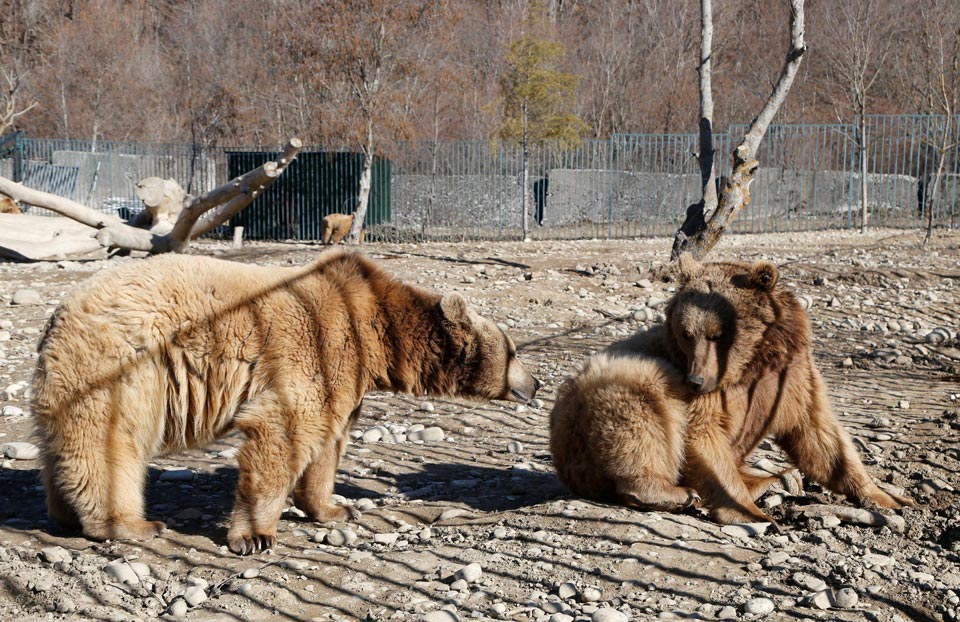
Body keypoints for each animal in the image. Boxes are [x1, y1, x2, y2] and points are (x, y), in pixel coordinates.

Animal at [31, 249, 540, 556]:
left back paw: (62, 512)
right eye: (514, 350)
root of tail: (60, 313)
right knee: (112, 441)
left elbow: (328, 445)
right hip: (123, 364)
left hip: (72, 372)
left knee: (62, 446)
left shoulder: (346, 377)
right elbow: (286, 430)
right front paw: (255, 536)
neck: (377, 333)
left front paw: (335, 508)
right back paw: (131, 524)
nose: (535, 384)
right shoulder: (318, 345)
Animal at [552, 254, 912, 528]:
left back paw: (776, 480)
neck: (753, 363)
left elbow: (821, 436)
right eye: (687, 333)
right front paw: (754, 515)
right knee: (643, 421)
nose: (695, 380)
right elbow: (704, 438)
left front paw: (891, 497)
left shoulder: (792, 379)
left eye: (717, 334)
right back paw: (677, 493)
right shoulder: (711, 395)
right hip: (607, 398)